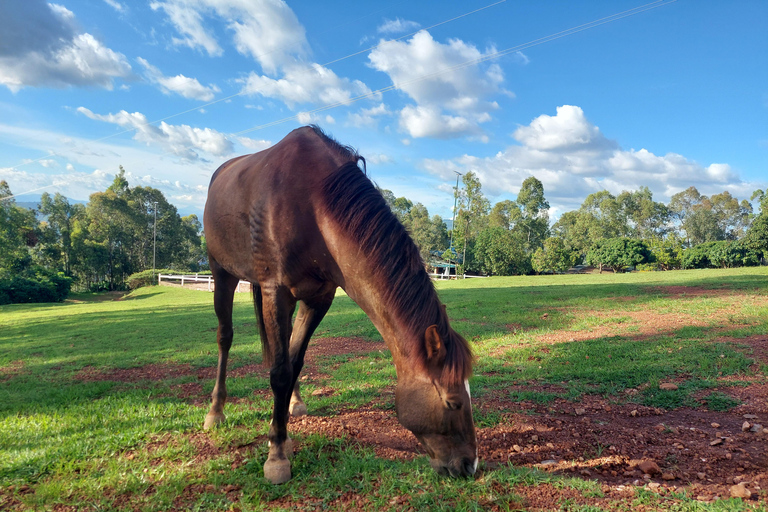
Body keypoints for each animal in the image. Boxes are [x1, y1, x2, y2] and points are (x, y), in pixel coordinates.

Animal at [201, 125, 476, 484]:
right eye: (453, 402)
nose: (470, 465)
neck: (313, 204)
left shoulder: (319, 299)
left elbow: (293, 363)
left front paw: (284, 433)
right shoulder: (276, 292)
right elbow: (279, 372)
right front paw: (276, 454)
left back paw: (294, 403)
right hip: (222, 274)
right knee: (225, 337)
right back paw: (216, 410)